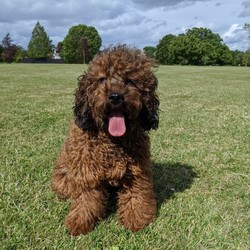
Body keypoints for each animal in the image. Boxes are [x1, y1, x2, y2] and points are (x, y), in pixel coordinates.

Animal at [51, 45, 159, 236]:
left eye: (129, 80)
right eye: (102, 79)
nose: (115, 96)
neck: (112, 141)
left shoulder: (136, 171)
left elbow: (136, 194)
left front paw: (137, 218)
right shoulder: (86, 171)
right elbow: (86, 199)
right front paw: (80, 221)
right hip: (63, 180)